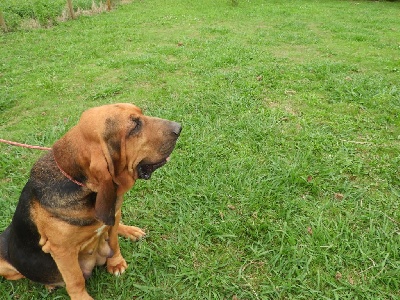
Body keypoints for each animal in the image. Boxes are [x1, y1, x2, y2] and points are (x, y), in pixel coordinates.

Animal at [0, 102, 181, 298]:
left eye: (141, 114)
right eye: (134, 126)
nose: (179, 127)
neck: (76, 181)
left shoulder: (113, 215)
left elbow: (114, 242)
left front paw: (115, 263)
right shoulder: (62, 250)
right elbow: (75, 279)